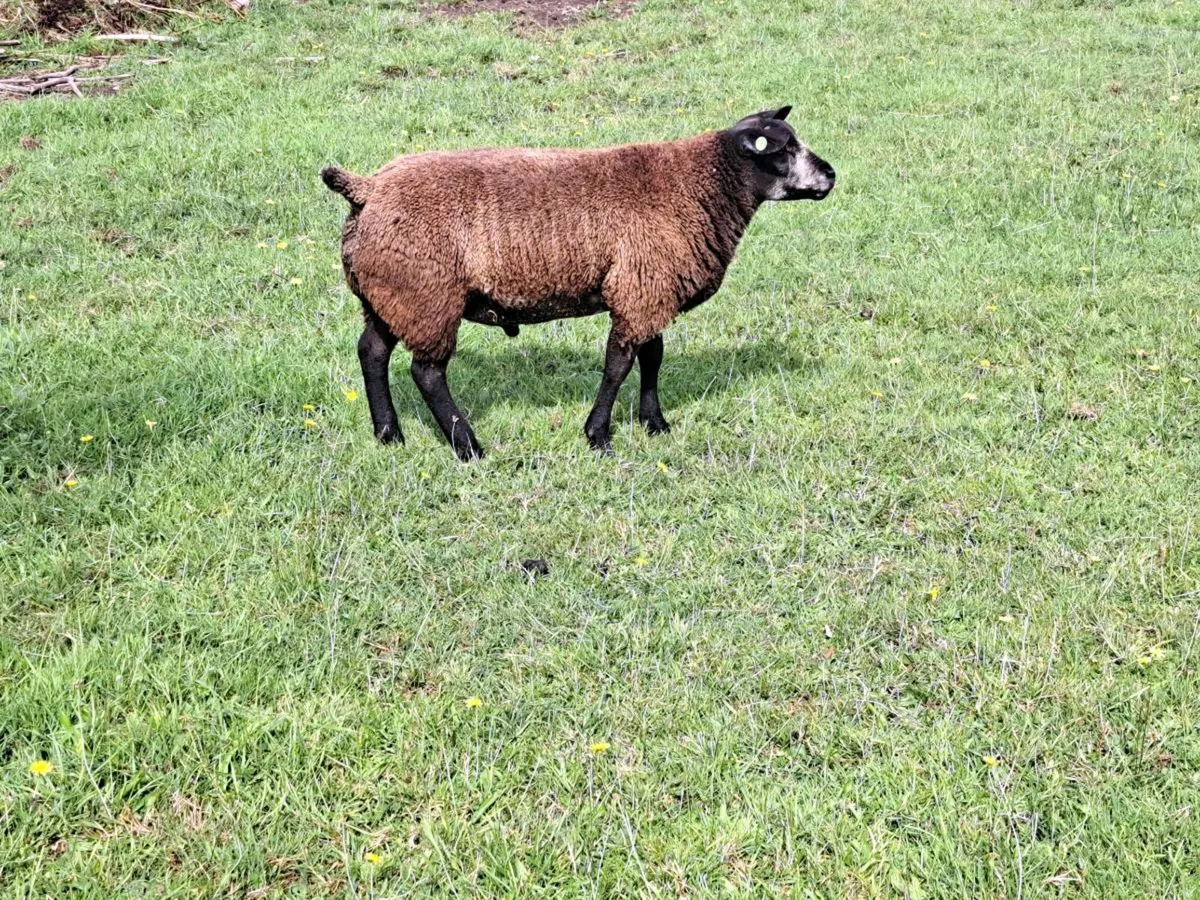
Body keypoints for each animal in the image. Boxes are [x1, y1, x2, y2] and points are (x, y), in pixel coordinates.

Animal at [321, 106, 835, 461]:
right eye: (782, 150)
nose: (830, 174)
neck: (700, 186)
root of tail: (367, 189)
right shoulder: (640, 286)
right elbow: (618, 365)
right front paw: (598, 436)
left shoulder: (649, 287)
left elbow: (652, 356)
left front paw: (654, 423)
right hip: (426, 295)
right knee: (426, 372)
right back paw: (468, 446)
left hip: (389, 295)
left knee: (372, 352)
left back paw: (389, 434)